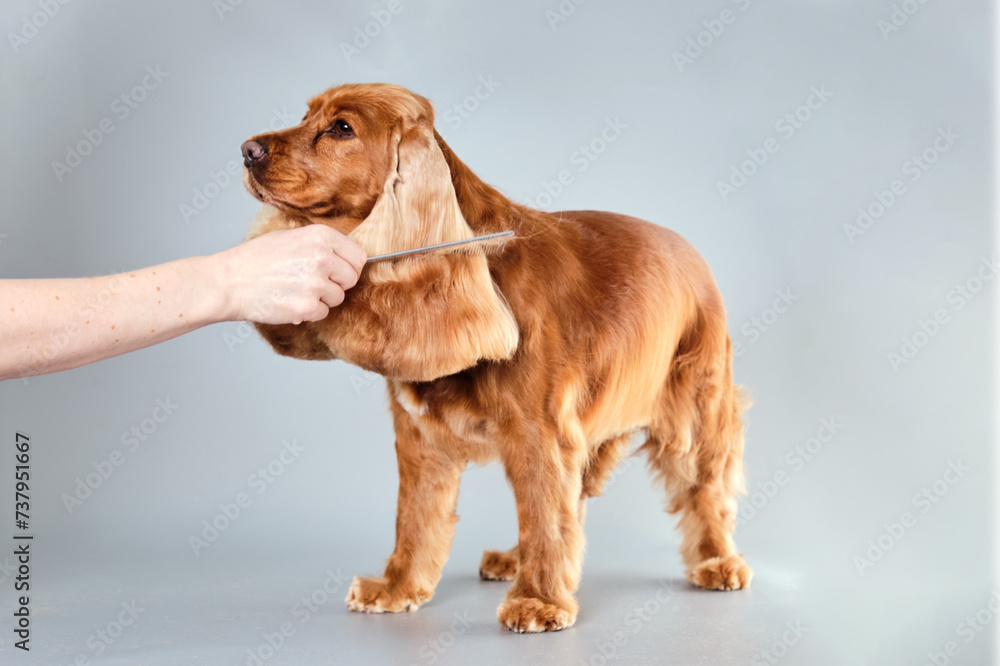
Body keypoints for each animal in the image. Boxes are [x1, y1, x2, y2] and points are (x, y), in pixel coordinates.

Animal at [238, 80, 752, 632]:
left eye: (341, 128)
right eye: (305, 114)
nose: (246, 150)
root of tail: (689, 250)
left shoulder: (538, 432)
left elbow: (544, 518)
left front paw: (539, 601)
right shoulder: (420, 438)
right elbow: (415, 518)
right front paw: (397, 589)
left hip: (696, 406)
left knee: (703, 489)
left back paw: (717, 561)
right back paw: (513, 559)